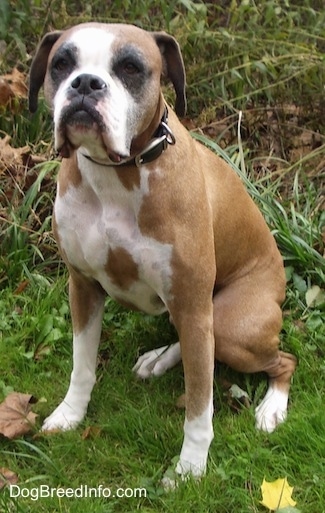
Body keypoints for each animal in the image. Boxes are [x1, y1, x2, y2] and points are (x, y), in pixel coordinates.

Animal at [28, 23, 296, 480]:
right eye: (62, 63)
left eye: (131, 68)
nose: (85, 84)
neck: (117, 173)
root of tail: (279, 285)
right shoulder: (82, 288)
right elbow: (82, 365)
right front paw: (70, 414)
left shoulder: (190, 302)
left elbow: (199, 405)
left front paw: (189, 468)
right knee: (197, 345)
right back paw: (159, 359)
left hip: (230, 324)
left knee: (282, 359)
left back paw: (271, 408)